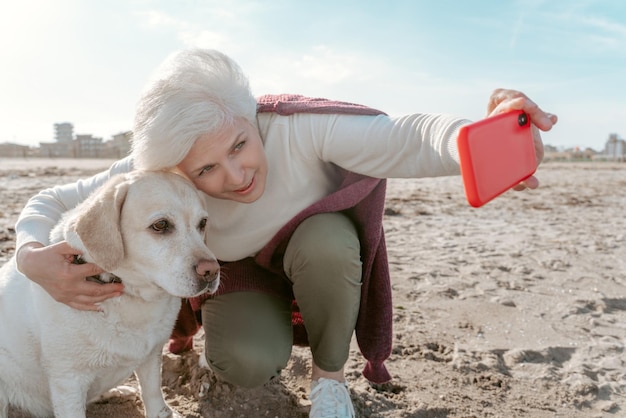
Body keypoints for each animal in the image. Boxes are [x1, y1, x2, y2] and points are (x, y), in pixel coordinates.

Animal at [0, 171, 219, 418]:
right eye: (161, 225)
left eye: (203, 223)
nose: (212, 271)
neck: (130, 296)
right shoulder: (68, 380)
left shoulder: (152, 354)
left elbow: (153, 392)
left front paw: (161, 412)